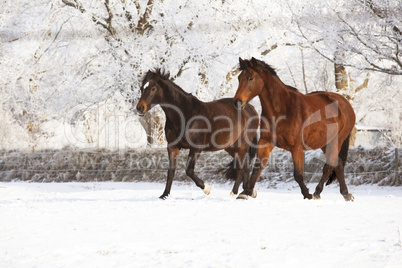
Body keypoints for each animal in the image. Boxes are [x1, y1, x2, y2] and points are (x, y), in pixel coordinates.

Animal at [137, 69, 260, 199]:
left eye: (153, 88)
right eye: (141, 87)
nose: (140, 108)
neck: (185, 114)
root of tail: (251, 108)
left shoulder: (196, 148)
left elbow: (189, 170)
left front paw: (206, 188)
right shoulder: (172, 147)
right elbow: (171, 171)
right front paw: (164, 195)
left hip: (242, 144)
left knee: (242, 166)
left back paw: (236, 192)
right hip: (231, 147)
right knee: (246, 165)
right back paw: (246, 192)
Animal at [234, 58, 356, 201]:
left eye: (251, 77)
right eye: (239, 77)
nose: (237, 102)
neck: (282, 109)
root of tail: (345, 103)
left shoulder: (296, 147)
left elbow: (298, 174)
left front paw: (307, 194)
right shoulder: (266, 143)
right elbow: (257, 167)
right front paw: (245, 192)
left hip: (336, 141)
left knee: (329, 165)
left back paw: (317, 193)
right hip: (325, 143)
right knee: (338, 165)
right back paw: (345, 194)